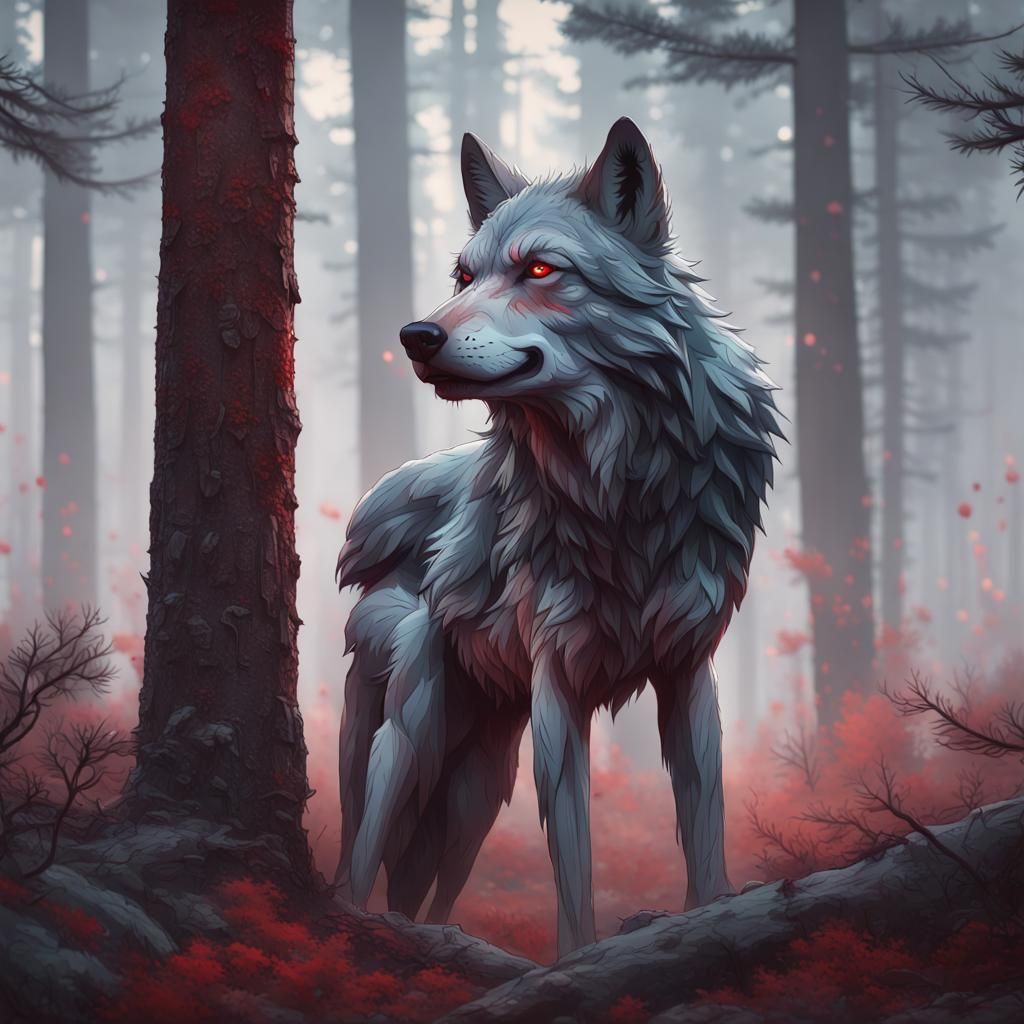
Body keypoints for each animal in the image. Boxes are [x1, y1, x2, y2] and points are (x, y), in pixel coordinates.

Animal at [335, 118, 782, 957]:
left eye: (540, 268)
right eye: (462, 276)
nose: (415, 334)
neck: (621, 487)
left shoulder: (689, 678)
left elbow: (705, 836)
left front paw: (713, 921)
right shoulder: (558, 694)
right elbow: (572, 870)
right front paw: (574, 961)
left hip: (474, 794)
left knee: (422, 885)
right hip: (412, 739)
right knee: (361, 853)